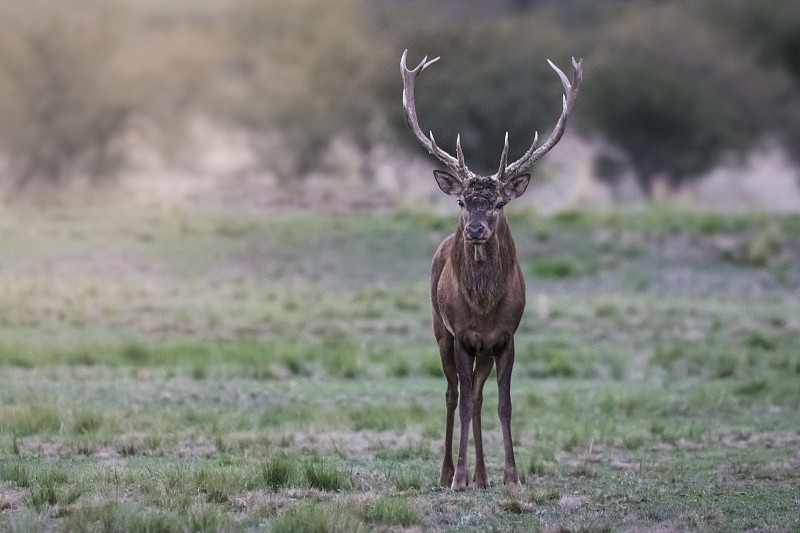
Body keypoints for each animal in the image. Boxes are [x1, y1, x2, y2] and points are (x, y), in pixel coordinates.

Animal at [400, 51, 580, 490]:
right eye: (462, 202)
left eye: (499, 203)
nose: (475, 229)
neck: (483, 309)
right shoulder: (463, 335)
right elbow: (464, 402)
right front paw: (459, 477)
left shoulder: (506, 337)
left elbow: (503, 403)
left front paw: (511, 476)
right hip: (439, 330)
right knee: (453, 395)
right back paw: (449, 471)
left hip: (483, 350)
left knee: (479, 396)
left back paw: (483, 476)